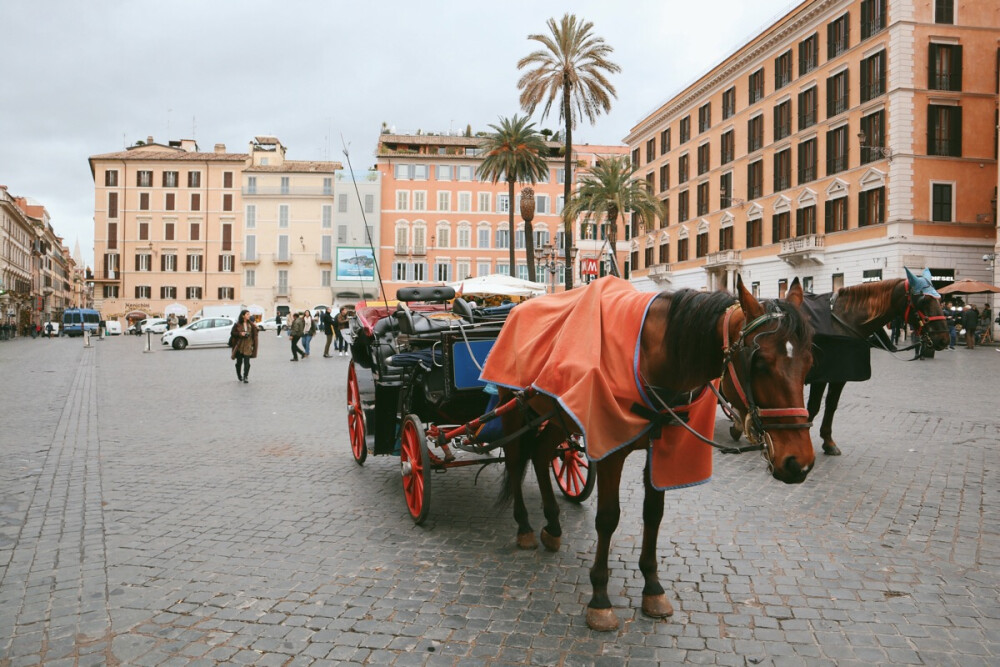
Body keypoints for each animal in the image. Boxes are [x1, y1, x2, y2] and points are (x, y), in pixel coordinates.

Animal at [496, 276, 816, 632]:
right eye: (759, 364)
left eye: (809, 363)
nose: (798, 463)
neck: (652, 358)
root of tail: (517, 308)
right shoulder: (609, 450)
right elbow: (608, 518)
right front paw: (600, 598)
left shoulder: (662, 445)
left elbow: (654, 513)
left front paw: (652, 587)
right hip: (511, 405)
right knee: (515, 458)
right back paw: (524, 527)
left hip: (556, 415)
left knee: (540, 454)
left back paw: (552, 526)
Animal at [800, 274, 948, 456]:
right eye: (923, 301)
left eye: (939, 299)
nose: (944, 339)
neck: (842, 321)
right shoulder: (822, 376)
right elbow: (813, 407)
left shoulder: (840, 375)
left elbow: (831, 405)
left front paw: (828, 441)